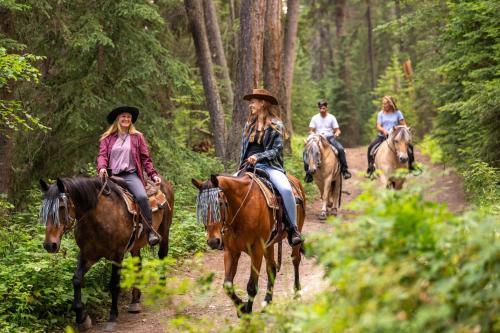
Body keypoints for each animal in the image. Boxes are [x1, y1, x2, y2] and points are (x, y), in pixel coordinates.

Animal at [38, 176, 174, 330]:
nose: (50, 245)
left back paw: (161, 287)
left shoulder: (117, 255)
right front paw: (81, 317)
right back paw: (135, 301)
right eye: (43, 210)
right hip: (135, 245)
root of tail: (163, 182)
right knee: (137, 266)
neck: (98, 218)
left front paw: (113, 316)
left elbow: (114, 284)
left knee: (162, 256)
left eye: (61, 207)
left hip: (164, 231)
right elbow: (77, 280)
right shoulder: (87, 254)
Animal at [191, 172, 304, 316]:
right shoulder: (231, 251)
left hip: (294, 238)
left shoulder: (257, 250)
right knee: (272, 268)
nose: (213, 241)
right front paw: (241, 307)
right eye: (201, 208)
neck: (241, 210)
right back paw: (267, 301)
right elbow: (227, 285)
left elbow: (251, 286)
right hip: (269, 245)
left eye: (220, 204)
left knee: (295, 260)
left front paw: (247, 312)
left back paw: (297, 292)